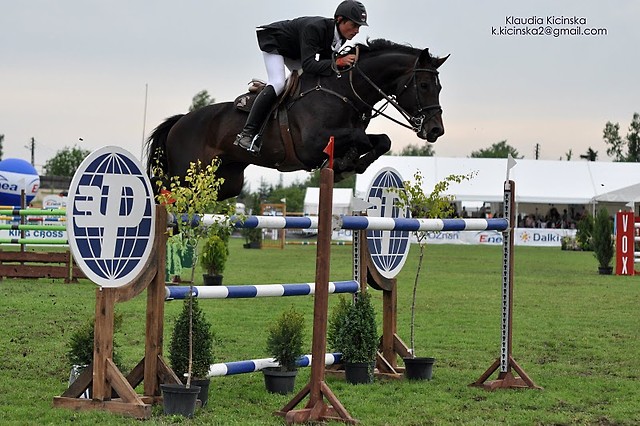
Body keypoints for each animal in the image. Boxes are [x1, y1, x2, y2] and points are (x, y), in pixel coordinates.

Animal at [147, 38, 448, 201]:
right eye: (423, 85)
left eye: (440, 87)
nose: (435, 130)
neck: (343, 91)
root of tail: (179, 122)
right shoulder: (311, 145)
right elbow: (360, 138)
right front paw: (346, 163)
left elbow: (382, 141)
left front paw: (352, 164)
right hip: (184, 177)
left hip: (225, 183)